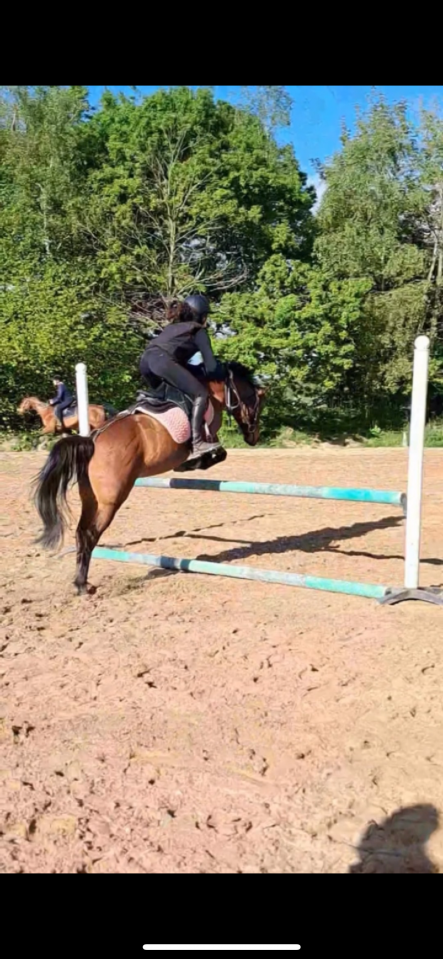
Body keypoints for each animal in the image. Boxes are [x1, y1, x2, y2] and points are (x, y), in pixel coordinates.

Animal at [34, 362, 266, 595]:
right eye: (257, 403)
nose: (253, 438)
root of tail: (91, 439)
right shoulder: (208, 431)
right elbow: (217, 451)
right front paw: (196, 461)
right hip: (111, 501)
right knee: (91, 534)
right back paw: (82, 585)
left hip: (91, 499)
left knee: (81, 532)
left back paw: (80, 582)